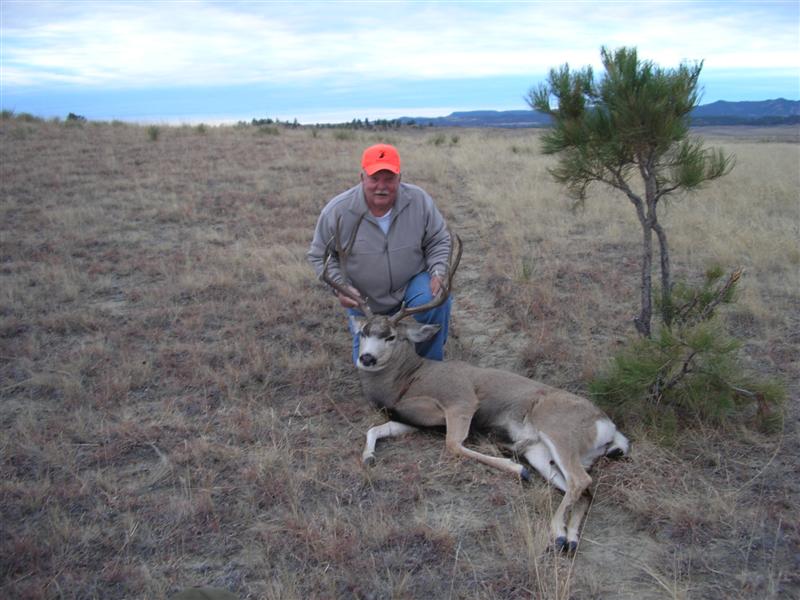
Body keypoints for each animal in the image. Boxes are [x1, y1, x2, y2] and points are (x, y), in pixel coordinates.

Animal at [320, 220, 632, 552]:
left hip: (558, 429)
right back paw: (568, 537)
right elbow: (376, 429)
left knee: (581, 481)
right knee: (585, 489)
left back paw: (554, 530)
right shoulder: (412, 420)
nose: (366, 357)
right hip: (541, 450)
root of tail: (610, 427)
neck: (408, 380)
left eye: (391, 336)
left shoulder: (460, 400)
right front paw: (368, 457)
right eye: (364, 332)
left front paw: (515, 469)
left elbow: (453, 444)